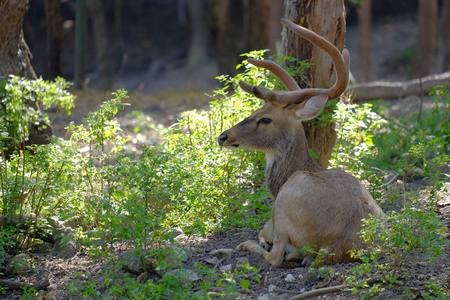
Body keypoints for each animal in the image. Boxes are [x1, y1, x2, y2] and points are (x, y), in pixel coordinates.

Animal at [217, 18, 384, 268]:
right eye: (255, 111)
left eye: (265, 119)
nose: (223, 136)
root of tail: (338, 247)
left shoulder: (275, 215)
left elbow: (264, 232)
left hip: (288, 201)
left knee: (275, 257)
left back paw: (252, 246)